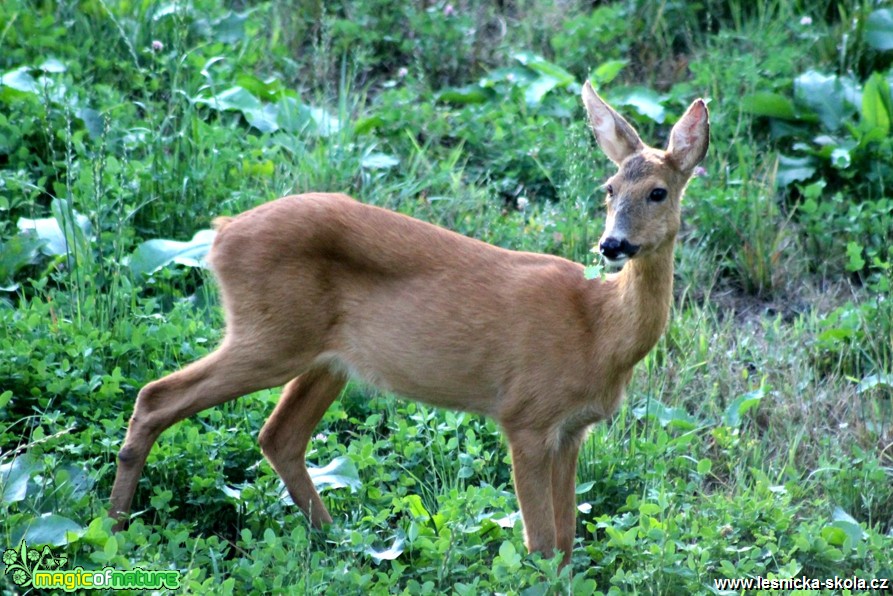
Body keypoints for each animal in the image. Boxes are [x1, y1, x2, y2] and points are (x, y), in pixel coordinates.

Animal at [111, 81, 708, 564]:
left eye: (657, 191)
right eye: (609, 189)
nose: (612, 245)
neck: (599, 331)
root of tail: (221, 234)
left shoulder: (570, 430)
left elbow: (565, 543)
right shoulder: (526, 416)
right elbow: (541, 545)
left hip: (327, 360)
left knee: (278, 436)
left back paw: (338, 542)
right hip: (271, 336)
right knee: (157, 396)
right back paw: (115, 527)